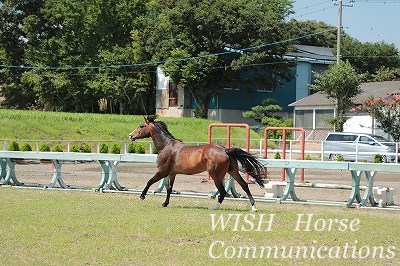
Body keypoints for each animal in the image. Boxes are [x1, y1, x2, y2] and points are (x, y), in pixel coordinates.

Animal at [128, 115, 266, 211]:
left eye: (141, 126)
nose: (130, 136)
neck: (166, 146)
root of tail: (225, 150)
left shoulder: (162, 171)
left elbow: (150, 181)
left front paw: (142, 196)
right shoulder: (172, 173)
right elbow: (169, 189)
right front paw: (165, 203)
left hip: (216, 175)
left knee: (222, 191)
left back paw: (214, 207)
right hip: (233, 171)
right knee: (244, 186)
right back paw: (254, 208)